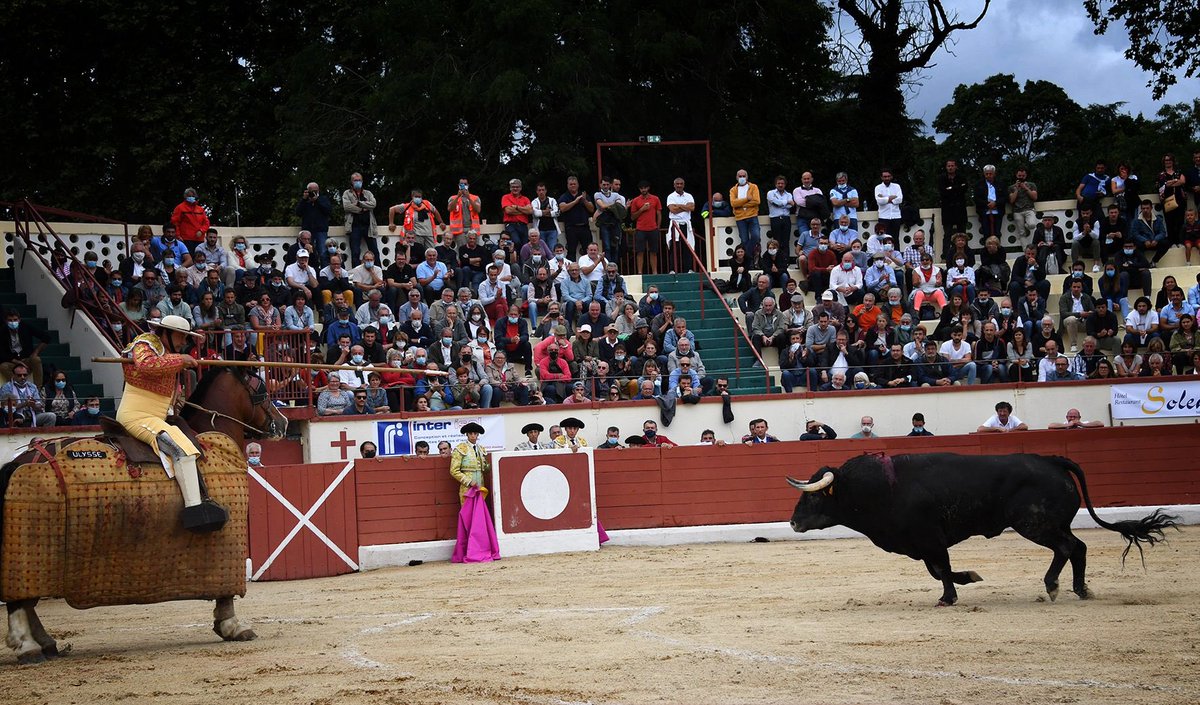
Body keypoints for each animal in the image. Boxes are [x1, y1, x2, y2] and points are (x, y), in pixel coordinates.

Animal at [1, 366, 286, 661]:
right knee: (19, 598)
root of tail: (20, 460)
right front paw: (233, 625)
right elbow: (227, 591)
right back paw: (27, 645)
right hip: (30, 544)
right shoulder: (228, 540)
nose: (283, 422)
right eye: (261, 389)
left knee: (27, 598)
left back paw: (46, 643)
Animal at [787, 453, 1180, 609]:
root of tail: (1050, 460)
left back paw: (1054, 586)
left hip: (1034, 523)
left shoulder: (930, 538)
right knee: (1077, 547)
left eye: (813, 497)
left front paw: (948, 598)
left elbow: (941, 569)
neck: (877, 488)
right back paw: (1079, 590)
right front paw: (968, 579)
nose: (792, 522)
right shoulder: (924, 544)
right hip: (1047, 524)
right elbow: (938, 570)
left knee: (1068, 548)